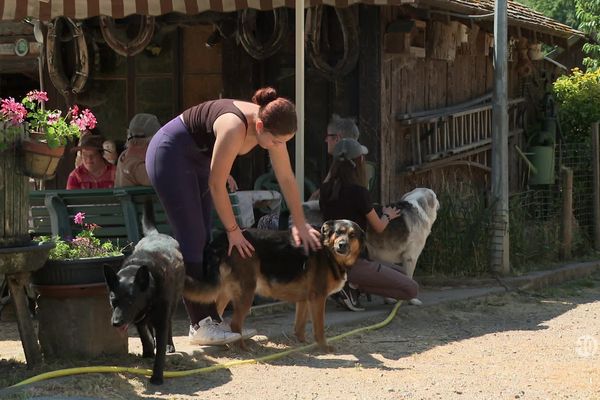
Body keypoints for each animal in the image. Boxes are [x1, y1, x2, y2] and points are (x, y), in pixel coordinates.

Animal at [103, 200, 184, 384]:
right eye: (113, 301)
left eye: (130, 301)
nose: (116, 323)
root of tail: (157, 234)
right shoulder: (138, 317)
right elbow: (143, 334)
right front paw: (148, 350)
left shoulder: (160, 318)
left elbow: (160, 349)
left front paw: (157, 376)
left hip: (174, 303)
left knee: (169, 324)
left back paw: (169, 345)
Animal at [183, 219, 364, 350]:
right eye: (338, 232)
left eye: (352, 235)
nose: (342, 245)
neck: (327, 251)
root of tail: (223, 240)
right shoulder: (318, 299)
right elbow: (319, 327)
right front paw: (324, 347)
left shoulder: (304, 300)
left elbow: (299, 326)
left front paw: (302, 343)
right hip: (246, 293)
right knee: (235, 323)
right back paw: (242, 347)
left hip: (226, 292)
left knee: (218, 312)